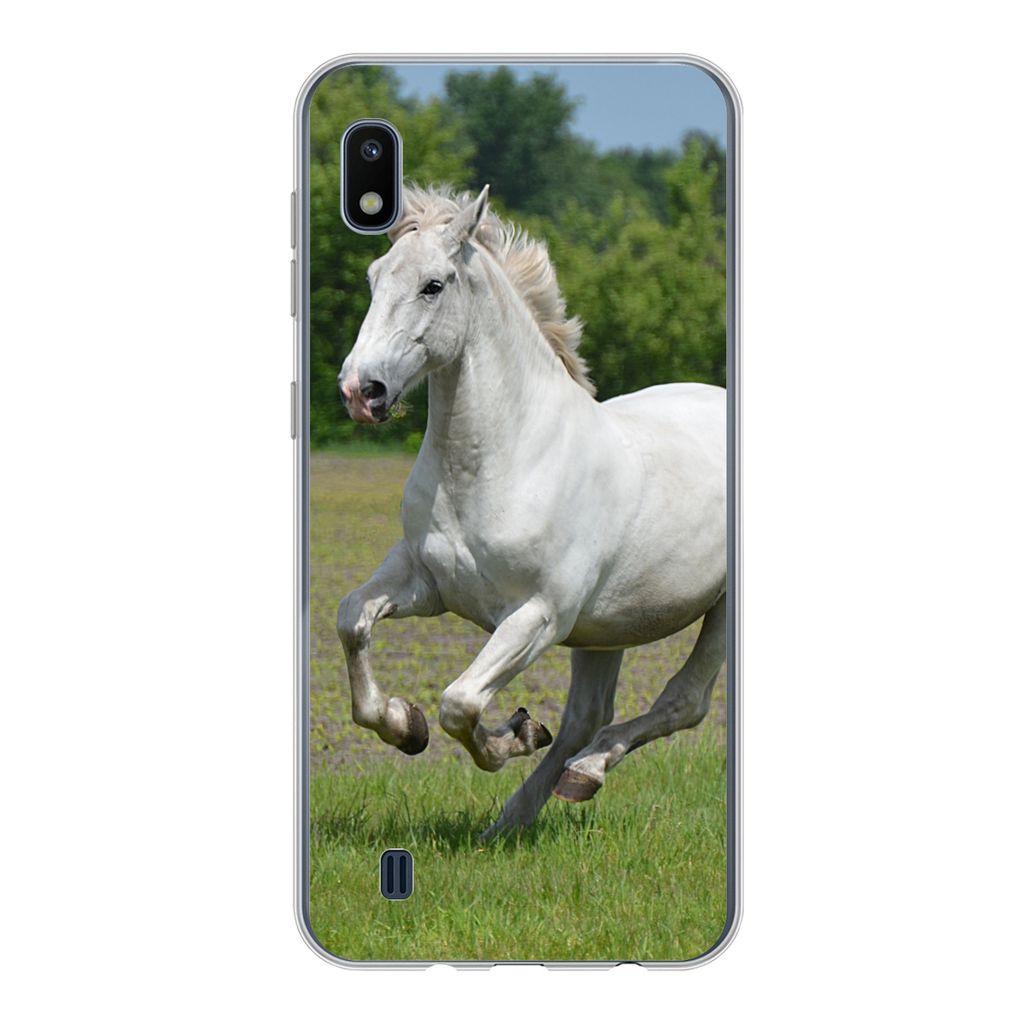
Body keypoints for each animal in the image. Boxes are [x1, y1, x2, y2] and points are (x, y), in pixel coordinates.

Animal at [335, 185, 727, 837]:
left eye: (433, 285)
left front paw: (514, 734)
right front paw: (404, 725)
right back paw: (516, 819)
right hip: (607, 628)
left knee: (682, 702)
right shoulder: (425, 583)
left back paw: (585, 772)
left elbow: (460, 703)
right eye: (374, 276)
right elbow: (351, 621)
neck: (504, 460)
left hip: (715, 613)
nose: (360, 391)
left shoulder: (539, 616)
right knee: (587, 715)